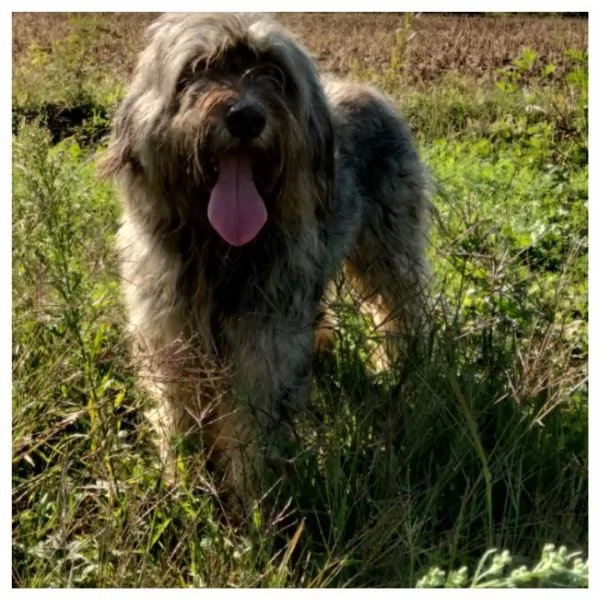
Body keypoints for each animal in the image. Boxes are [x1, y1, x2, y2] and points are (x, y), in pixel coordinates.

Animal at [102, 11, 432, 512]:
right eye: (199, 68)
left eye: (274, 73)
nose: (246, 117)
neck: (219, 250)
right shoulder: (171, 336)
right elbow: (178, 413)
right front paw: (184, 484)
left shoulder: (265, 345)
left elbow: (254, 426)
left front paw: (253, 501)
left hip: (389, 250)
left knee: (401, 307)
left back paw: (400, 368)